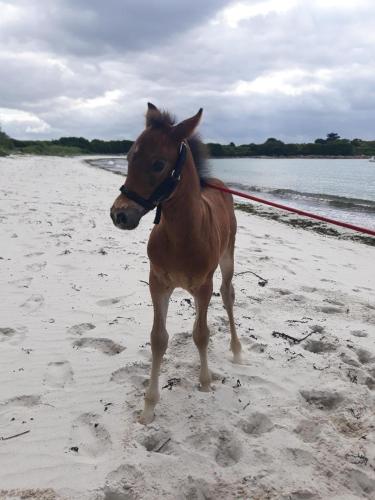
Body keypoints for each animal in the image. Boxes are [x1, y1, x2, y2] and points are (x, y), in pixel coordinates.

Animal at [110, 104, 242, 422]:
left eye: (158, 164)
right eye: (129, 157)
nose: (119, 214)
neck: (183, 235)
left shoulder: (205, 285)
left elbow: (202, 334)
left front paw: (205, 383)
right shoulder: (158, 283)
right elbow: (159, 339)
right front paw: (148, 406)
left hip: (227, 260)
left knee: (228, 296)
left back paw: (236, 350)